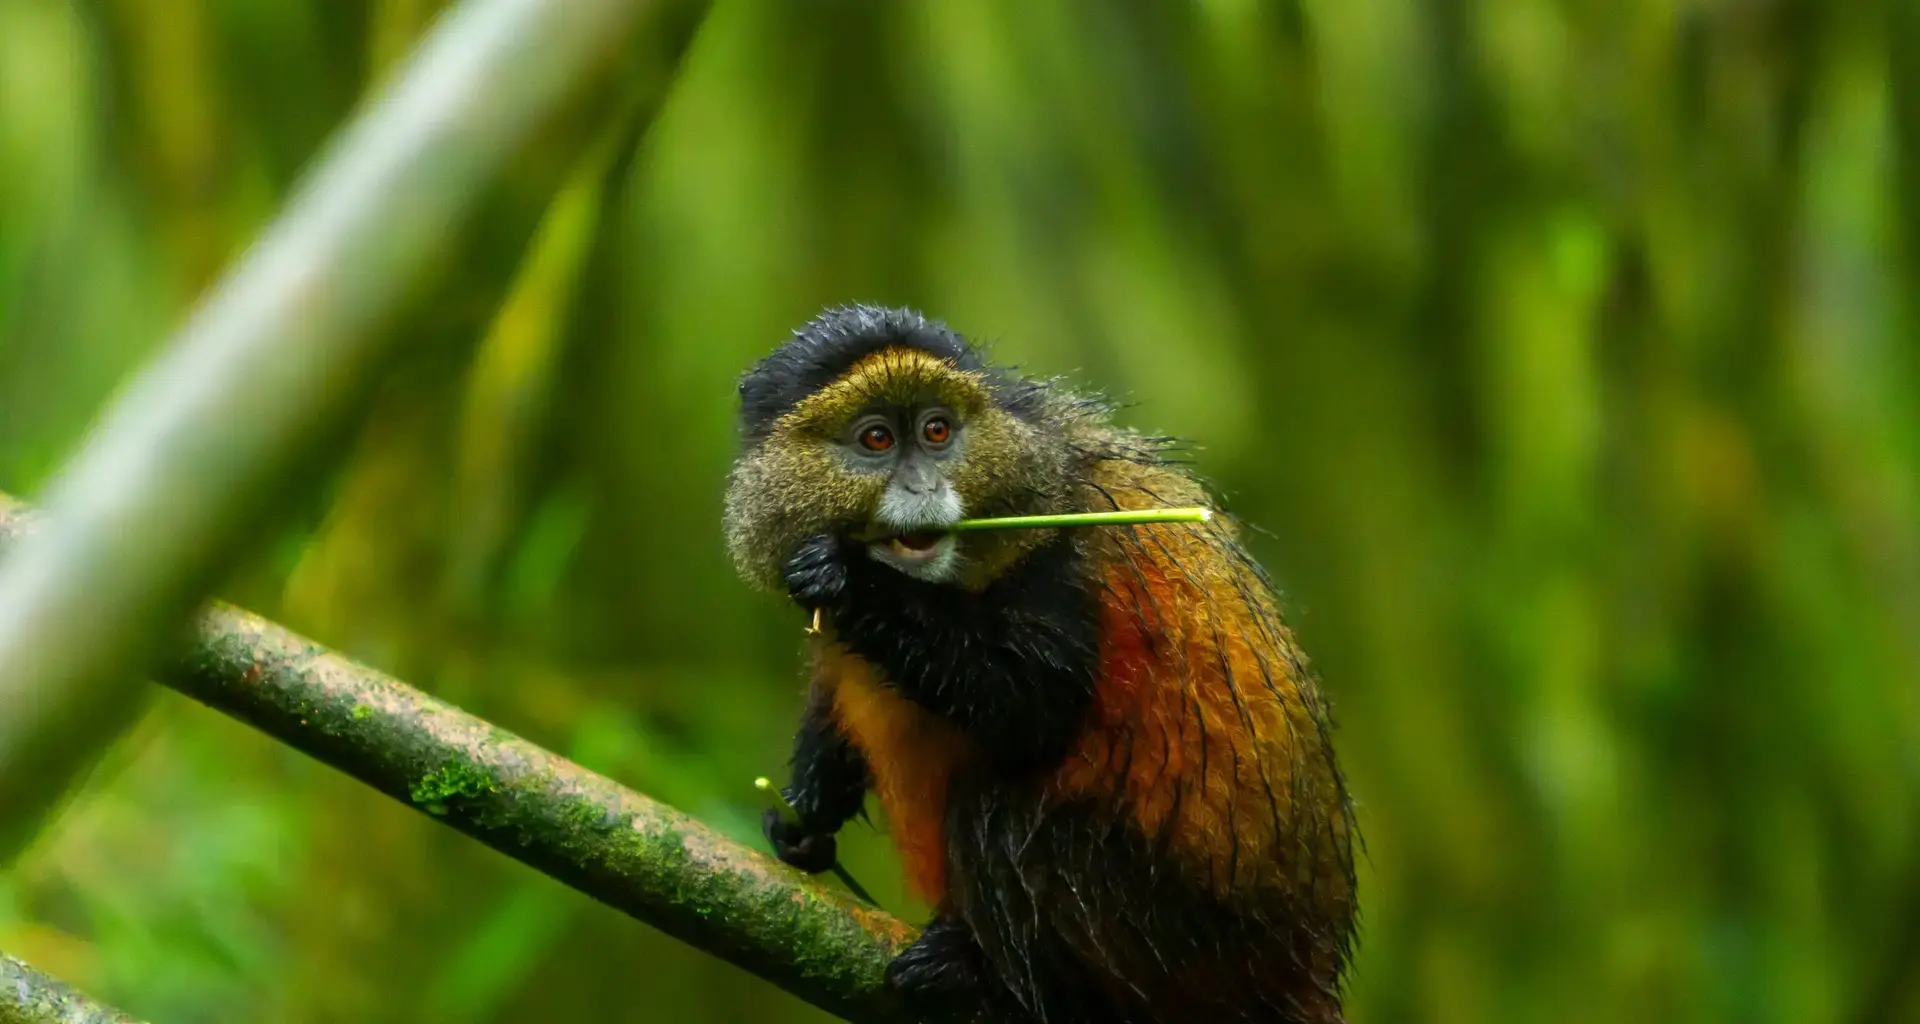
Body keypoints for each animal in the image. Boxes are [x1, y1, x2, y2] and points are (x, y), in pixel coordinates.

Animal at [724, 306, 1357, 1024]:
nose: (922, 485)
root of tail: (1297, 973)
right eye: (877, 439)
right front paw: (806, 812)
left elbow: (1035, 710)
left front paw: (855, 581)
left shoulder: (1058, 548)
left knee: (994, 813)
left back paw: (978, 973)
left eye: (936, 431)